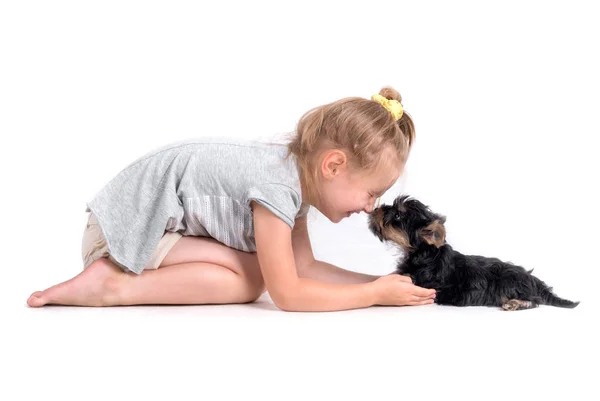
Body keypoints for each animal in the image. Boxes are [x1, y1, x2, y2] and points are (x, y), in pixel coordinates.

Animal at [368, 195, 580, 310]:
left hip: (508, 285)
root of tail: (533, 280)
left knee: (534, 301)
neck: (425, 253)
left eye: (397, 215)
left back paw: (515, 303)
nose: (376, 209)